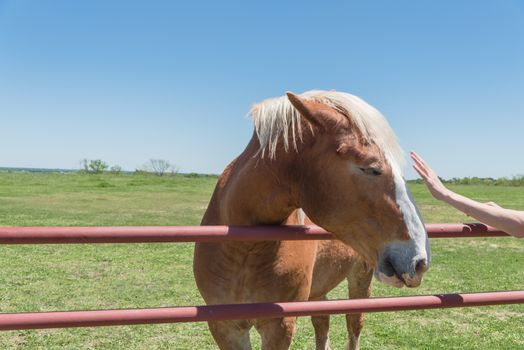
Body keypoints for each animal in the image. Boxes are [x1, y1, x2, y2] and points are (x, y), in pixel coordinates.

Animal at [193, 91, 430, 350]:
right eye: (370, 168)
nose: (419, 261)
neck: (243, 247)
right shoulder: (225, 327)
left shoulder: (279, 325)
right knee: (322, 321)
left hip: (361, 277)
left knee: (353, 323)